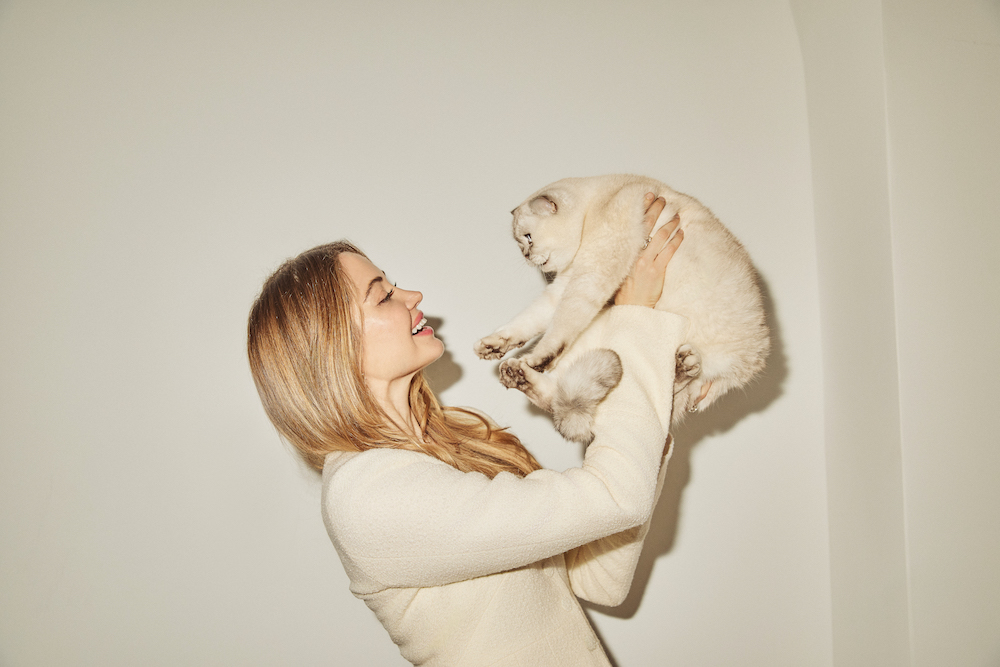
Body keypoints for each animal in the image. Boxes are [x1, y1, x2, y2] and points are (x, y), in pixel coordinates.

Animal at [474, 174, 769, 444]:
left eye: (528, 238)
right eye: (521, 243)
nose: (526, 256)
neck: (598, 202)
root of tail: (753, 362)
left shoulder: (590, 276)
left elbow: (554, 332)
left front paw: (534, 357)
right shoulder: (566, 284)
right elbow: (525, 323)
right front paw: (491, 347)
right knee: (560, 399)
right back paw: (515, 374)